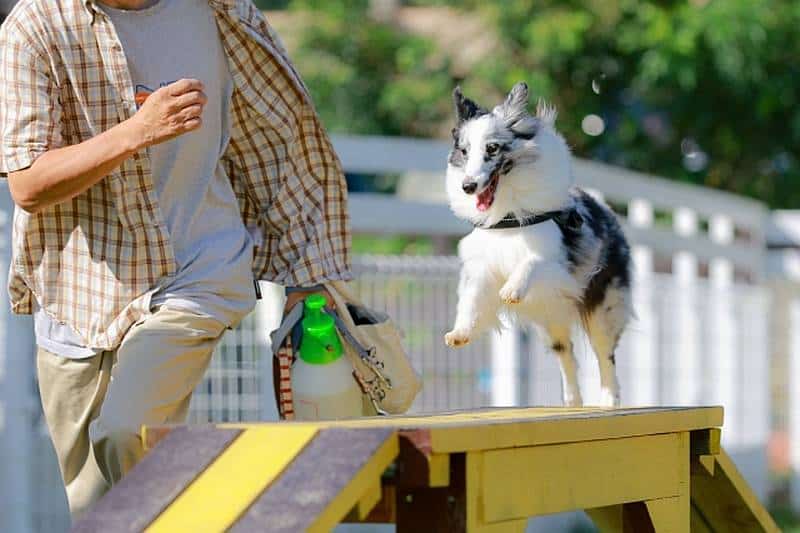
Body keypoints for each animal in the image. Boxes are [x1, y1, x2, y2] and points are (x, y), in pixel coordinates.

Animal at [444, 82, 632, 408]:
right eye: (464, 152)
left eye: (492, 148)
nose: (467, 186)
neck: (508, 216)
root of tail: (608, 212)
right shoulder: (482, 267)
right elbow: (471, 300)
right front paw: (460, 332)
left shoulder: (558, 266)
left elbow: (531, 262)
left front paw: (512, 289)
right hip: (551, 319)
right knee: (566, 354)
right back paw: (572, 400)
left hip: (604, 307)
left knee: (604, 354)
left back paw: (609, 400)